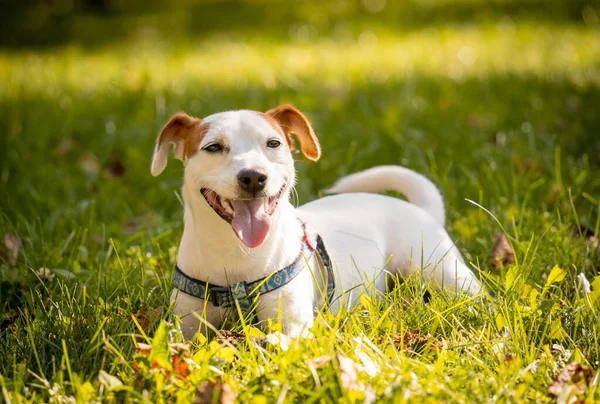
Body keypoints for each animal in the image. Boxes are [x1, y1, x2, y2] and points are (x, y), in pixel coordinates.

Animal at [151, 103, 482, 338]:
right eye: (213, 147)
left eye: (273, 143)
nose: (254, 177)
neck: (236, 255)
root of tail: (424, 210)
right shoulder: (185, 322)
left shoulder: (292, 326)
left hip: (443, 272)